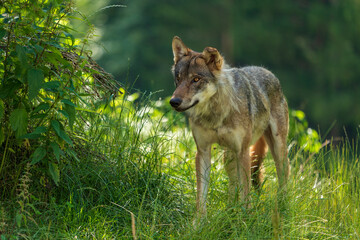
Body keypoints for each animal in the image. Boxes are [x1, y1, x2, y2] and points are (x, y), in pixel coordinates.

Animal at [169, 36, 290, 218]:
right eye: (178, 78)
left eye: (196, 79)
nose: (174, 102)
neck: (215, 115)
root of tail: (266, 70)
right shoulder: (202, 151)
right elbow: (201, 196)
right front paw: (198, 222)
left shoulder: (243, 151)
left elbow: (246, 194)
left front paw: (245, 219)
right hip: (229, 157)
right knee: (233, 186)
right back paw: (230, 212)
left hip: (277, 149)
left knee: (283, 176)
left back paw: (282, 209)